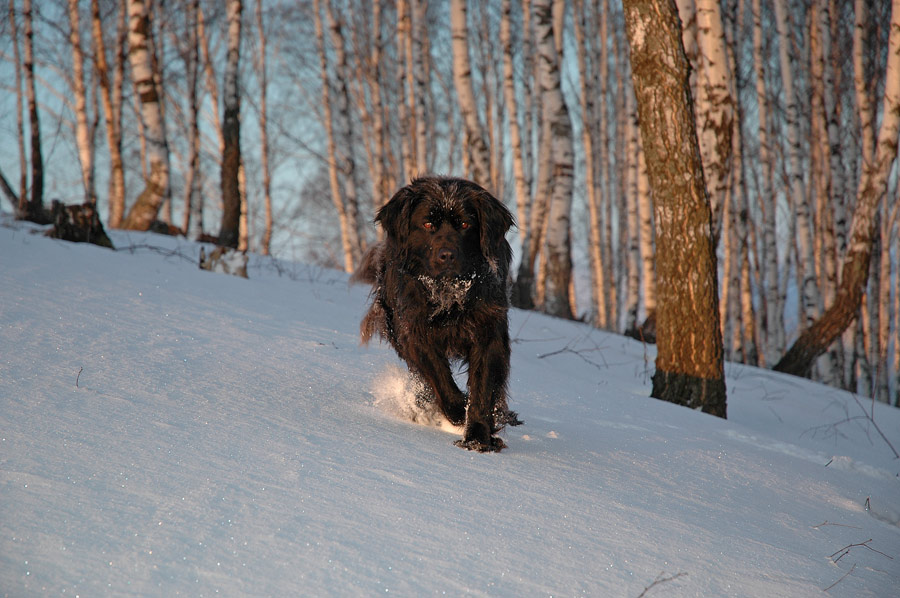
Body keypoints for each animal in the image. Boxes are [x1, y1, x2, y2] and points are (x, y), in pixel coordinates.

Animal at [354, 178, 520, 454]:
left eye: (465, 224)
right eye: (428, 224)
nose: (447, 255)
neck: (450, 294)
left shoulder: (488, 332)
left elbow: (483, 388)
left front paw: (477, 437)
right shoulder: (414, 332)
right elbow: (440, 379)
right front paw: (458, 412)